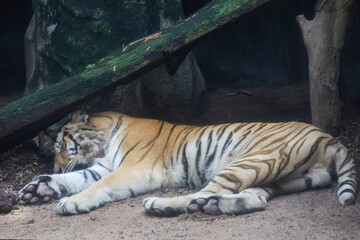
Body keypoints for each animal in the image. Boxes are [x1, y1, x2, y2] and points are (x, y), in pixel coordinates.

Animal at [19, 109, 358, 217]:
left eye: (61, 147)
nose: (56, 166)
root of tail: (331, 138)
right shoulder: (102, 167)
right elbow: (77, 180)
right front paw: (39, 190)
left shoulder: (134, 168)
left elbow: (98, 186)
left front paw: (70, 202)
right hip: (275, 177)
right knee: (254, 200)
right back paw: (212, 206)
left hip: (254, 159)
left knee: (202, 192)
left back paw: (161, 205)